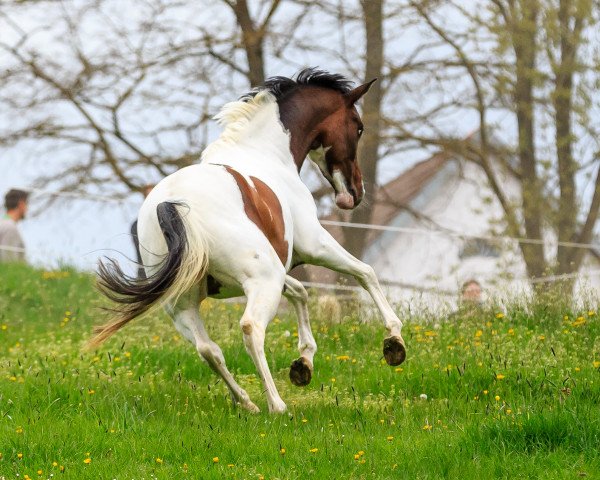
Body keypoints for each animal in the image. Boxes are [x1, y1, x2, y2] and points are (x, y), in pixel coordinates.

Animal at [90, 67, 408, 412]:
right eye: (358, 127)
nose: (354, 193)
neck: (264, 152)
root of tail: (171, 205)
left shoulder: (280, 268)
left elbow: (300, 292)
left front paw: (303, 364)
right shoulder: (313, 245)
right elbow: (365, 273)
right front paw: (394, 343)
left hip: (185, 302)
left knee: (208, 349)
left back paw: (246, 402)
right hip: (261, 280)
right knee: (251, 328)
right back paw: (276, 405)